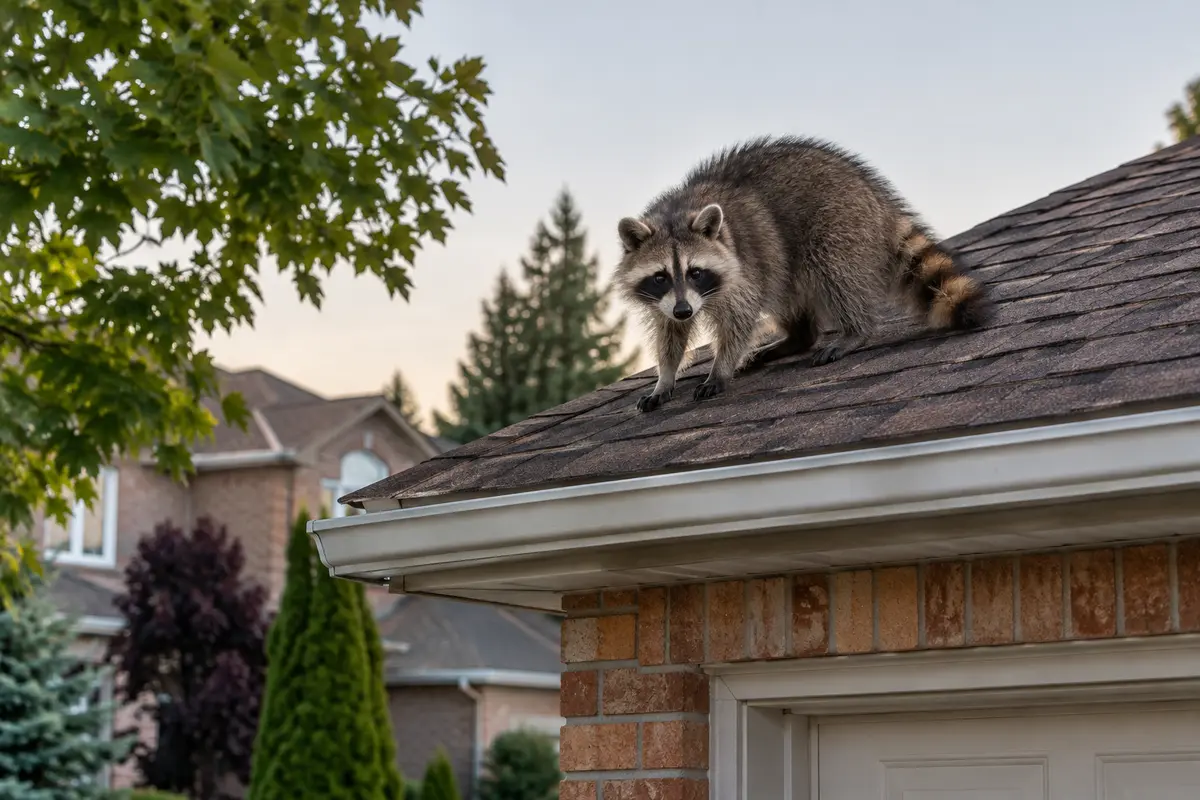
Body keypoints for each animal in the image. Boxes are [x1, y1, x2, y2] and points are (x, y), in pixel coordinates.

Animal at [615, 135, 990, 412]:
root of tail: (874, 194)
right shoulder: (665, 299)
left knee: (834, 271)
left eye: (695, 272)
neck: (676, 213)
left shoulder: (741, 268)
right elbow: (669, 332)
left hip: (838, 221)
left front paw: (720, 367)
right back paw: (798, 336)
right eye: (660, 276)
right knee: (785, 287)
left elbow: (738, 319)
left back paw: (855, 331)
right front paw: (665, 376)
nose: (684, 310)